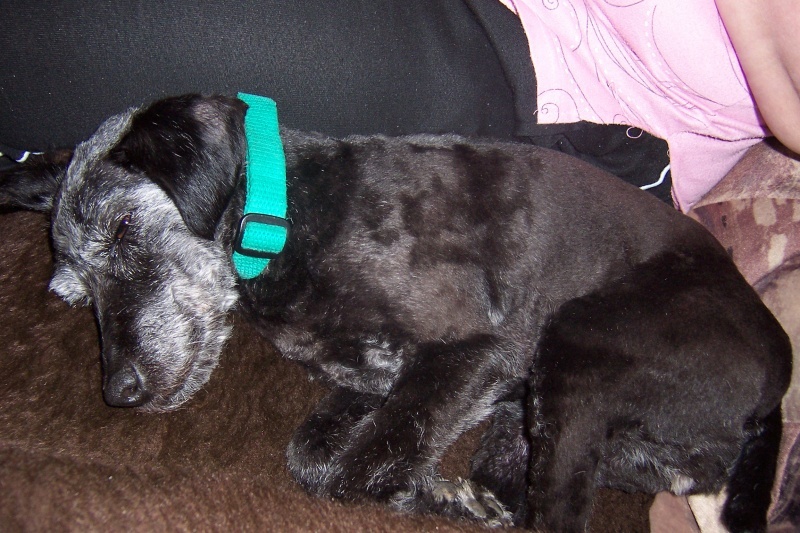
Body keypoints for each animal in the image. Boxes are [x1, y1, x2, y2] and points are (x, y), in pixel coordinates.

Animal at [0, 94, 791, 531]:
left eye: (124, 229)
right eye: (74, 294)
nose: (119, 390)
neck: (289, 216)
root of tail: (778, 368)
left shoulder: (476, 353)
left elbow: (356, 472)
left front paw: (416, 489)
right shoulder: (377, 380)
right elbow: (314, 457)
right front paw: (439, 493)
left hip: (579, 344)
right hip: (544, 417)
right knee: (527, 484)